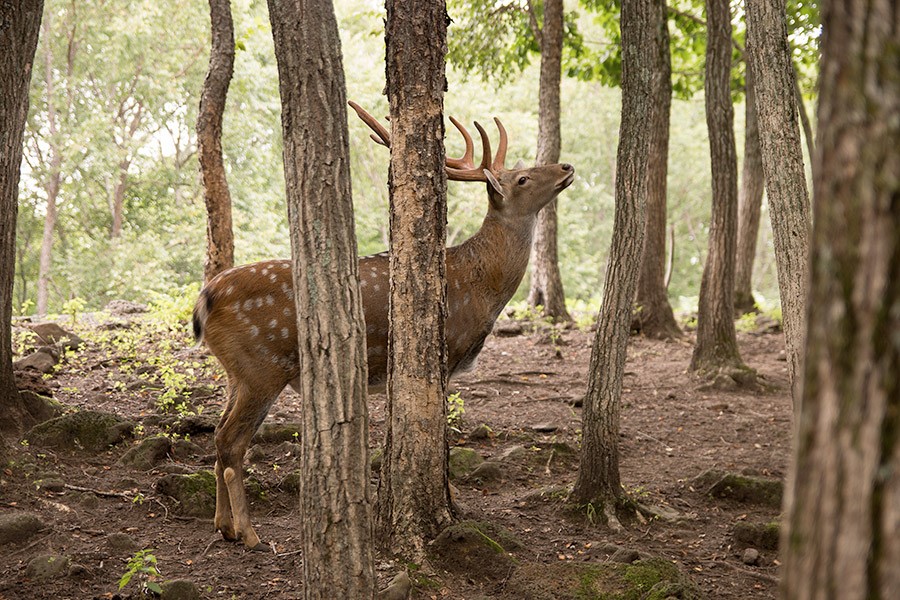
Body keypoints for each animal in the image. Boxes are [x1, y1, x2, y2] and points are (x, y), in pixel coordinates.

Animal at [194, 104, 576, 548]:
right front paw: (452, 495)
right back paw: (250, 533)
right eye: (522, 178)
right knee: (232, 441)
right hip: (262, 367)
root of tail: (205, 299)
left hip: (237, 371)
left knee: (219, 436)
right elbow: (442, 430)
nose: (567, 166)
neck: (483, 289)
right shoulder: (447, 354)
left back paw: (223, 526)